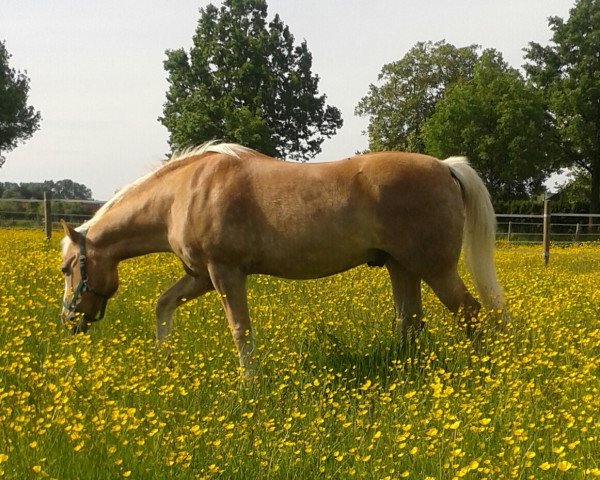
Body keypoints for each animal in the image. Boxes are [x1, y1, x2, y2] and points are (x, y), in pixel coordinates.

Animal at [61, 142, 504, 376]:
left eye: (67, 268)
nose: (70, 319)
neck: (184, 193)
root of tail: (445, 167)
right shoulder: (200, 276)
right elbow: (163, 305)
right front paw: (165, 364)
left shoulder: (225, 274)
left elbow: (241, 331)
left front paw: (250, 385)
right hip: (402, 268)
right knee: (411, 322)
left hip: (435, 269)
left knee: (471, 314)